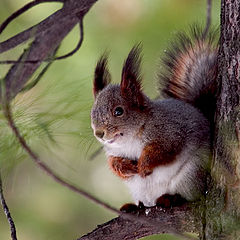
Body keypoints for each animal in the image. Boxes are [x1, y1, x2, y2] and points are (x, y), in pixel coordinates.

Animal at [90, 26, 218, 210]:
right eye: (92, 112)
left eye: (119, 111)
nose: (99, 133)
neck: (131, 138)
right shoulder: (113, 151)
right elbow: (113, 163)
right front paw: (125, 167)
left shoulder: (171, 132)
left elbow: (162, 150)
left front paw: (143, 165)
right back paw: (135, 206)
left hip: (191, 174)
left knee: (189, 195)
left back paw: (171, 198)